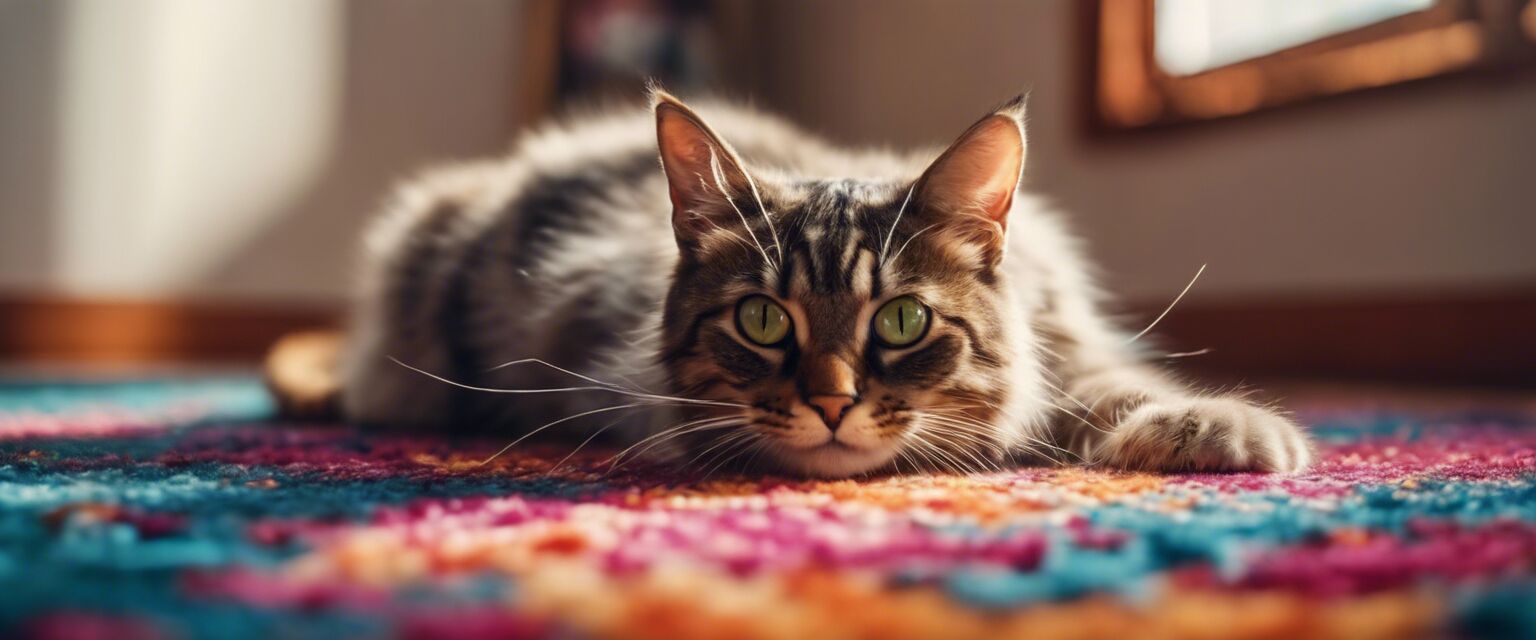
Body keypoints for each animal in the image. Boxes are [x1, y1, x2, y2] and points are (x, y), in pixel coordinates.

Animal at [302, 89, 1320, 475]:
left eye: (902, 321)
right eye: (761, 320)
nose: (831, 403)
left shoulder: (1064, 337)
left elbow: (1116, 385)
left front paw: (1219, 428)